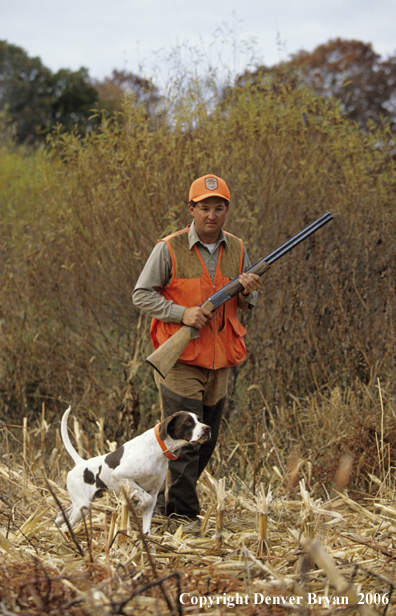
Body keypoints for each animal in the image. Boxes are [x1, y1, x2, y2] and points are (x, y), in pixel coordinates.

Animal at [56, 406, 210, 532]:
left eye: (200, 420)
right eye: (188, 422)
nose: (208, 428)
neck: (158, 448)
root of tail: (80, 463)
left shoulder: (154, 494)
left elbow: (146, 527)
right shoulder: (121, 476)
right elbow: (145, 498)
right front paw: (135, 507)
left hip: (81, 504)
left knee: (63, 515)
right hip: (82, 506)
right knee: (66, 526)